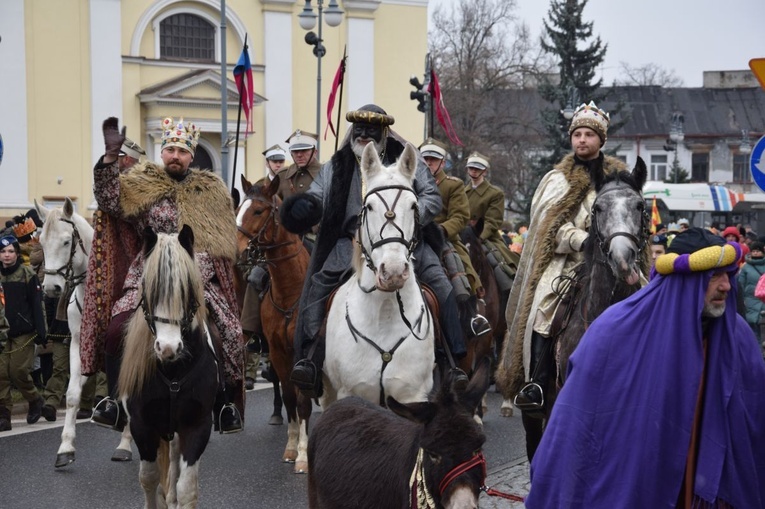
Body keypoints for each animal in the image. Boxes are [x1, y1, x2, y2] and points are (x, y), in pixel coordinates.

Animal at [35, 196, 133, 466]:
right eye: (41, 242)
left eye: (66, 241)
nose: (51, 287)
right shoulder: (79, 344)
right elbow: (72, 394)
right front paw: (66, 447)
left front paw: (125, 444)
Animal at [118, 227, 218, 508]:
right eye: (149, 291)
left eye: (187, 291)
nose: (168, 348)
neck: (173, 373)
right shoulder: (142, 424)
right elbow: (149, 478)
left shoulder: (197, 425)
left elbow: (187, 487)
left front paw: (177, 496)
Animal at [236, 174, 314, 472]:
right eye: (239, 207)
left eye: (258, 211)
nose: (236, 247)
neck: (291, 290)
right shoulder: (280, 353)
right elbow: (291, 397)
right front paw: (291, 447)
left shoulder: (303, 356)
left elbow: (303, 400)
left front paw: (303, 455)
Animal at [320, 142, 432, 408]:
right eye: (369, 207)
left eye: (413, 206)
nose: (393, 272)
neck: (385, 311)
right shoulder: (351, 393)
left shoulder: (411, 396)